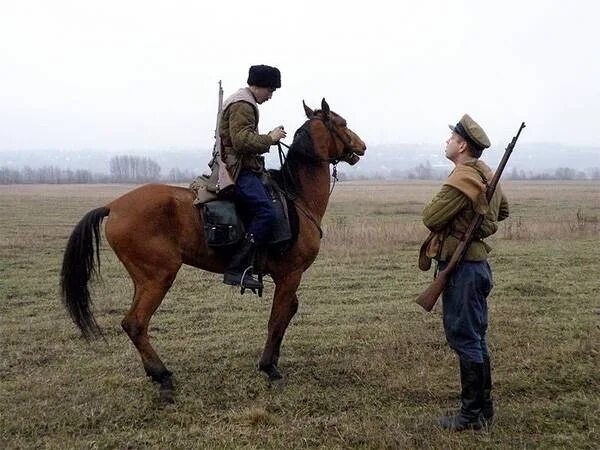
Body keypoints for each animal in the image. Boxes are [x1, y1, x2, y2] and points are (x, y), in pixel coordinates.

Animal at [59, 98, 366, 400]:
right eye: (342, 123)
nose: (362, 146)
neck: (297, 197)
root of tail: (114, 206)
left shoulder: (287, 278)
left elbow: (287, 312)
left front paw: (272, 362)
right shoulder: (290, 275)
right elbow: (277, 319)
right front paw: (270, 369)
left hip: (143, 279)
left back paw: (156, 374)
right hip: (158, 277)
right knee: (135, 323)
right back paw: (163, 376)